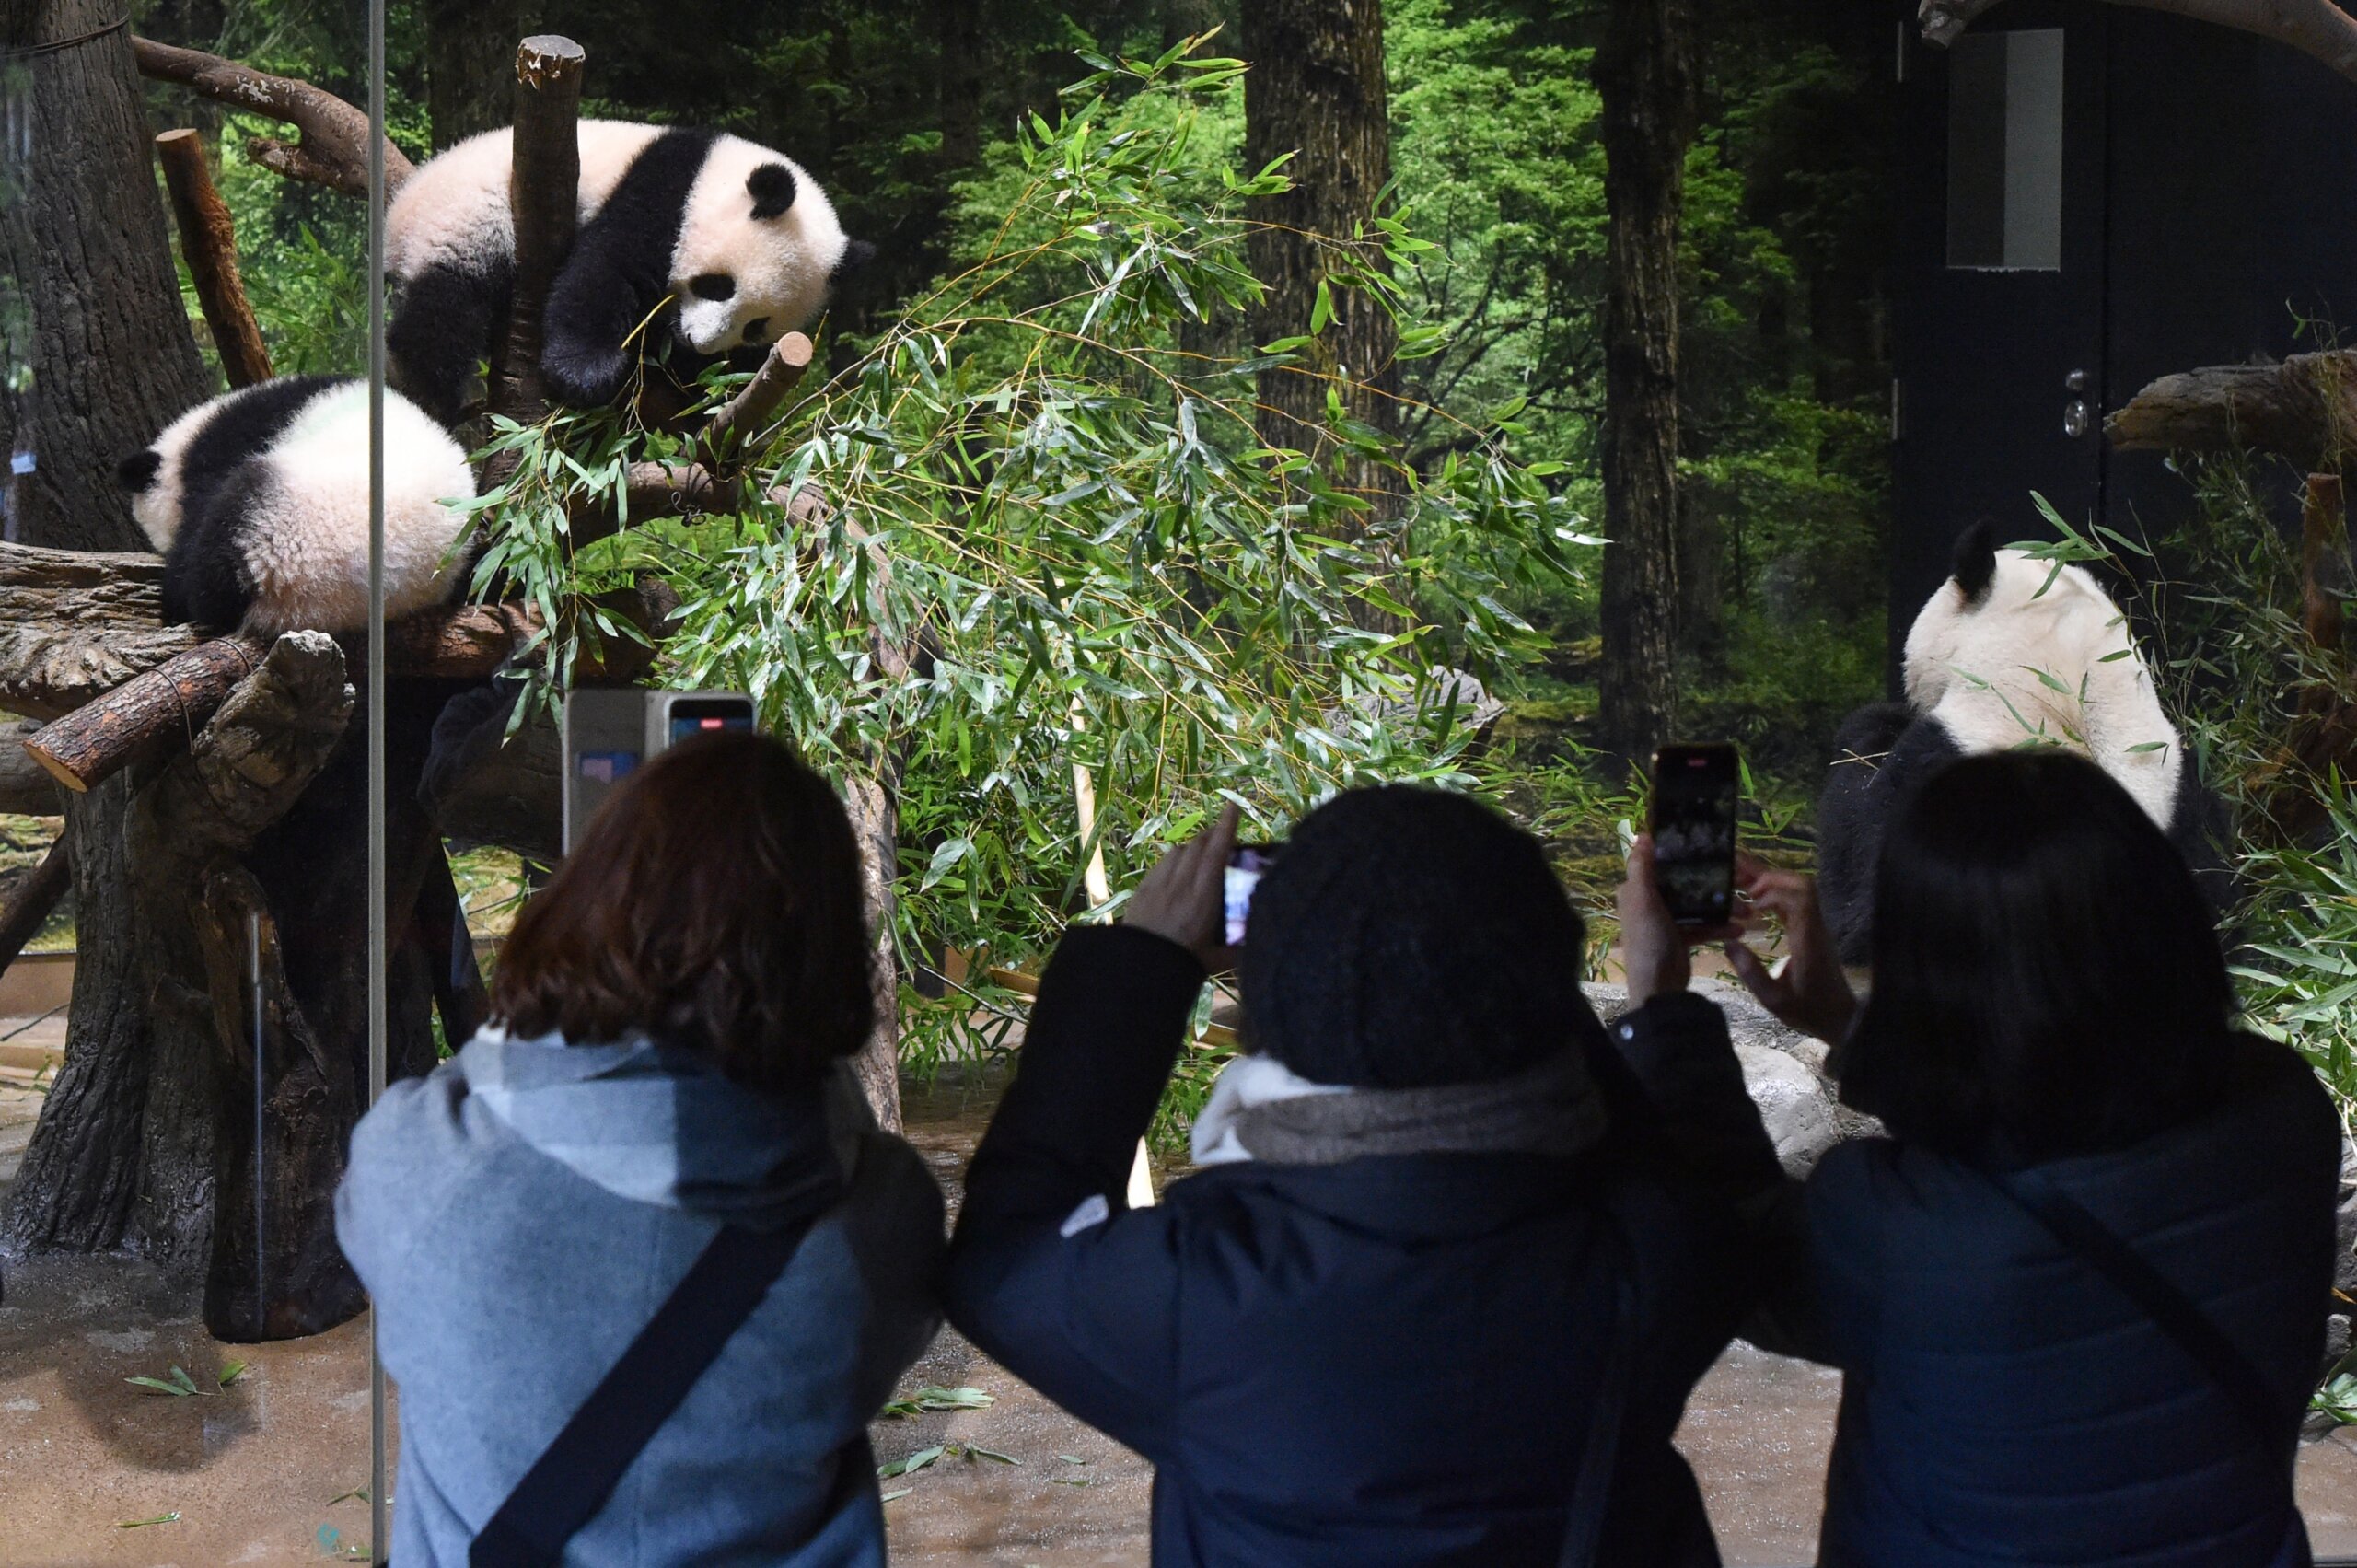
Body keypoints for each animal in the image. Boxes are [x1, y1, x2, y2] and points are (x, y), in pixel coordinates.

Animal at [386, 122, 877, 424]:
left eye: (756, 326)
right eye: (719, 286)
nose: (698, 341)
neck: (715, 174)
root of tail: (400, 207)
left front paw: (699, 389)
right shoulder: (662, 192)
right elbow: (607, 269)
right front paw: (587, 372)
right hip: (466, 217)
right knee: (445, 311)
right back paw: (428, 396)